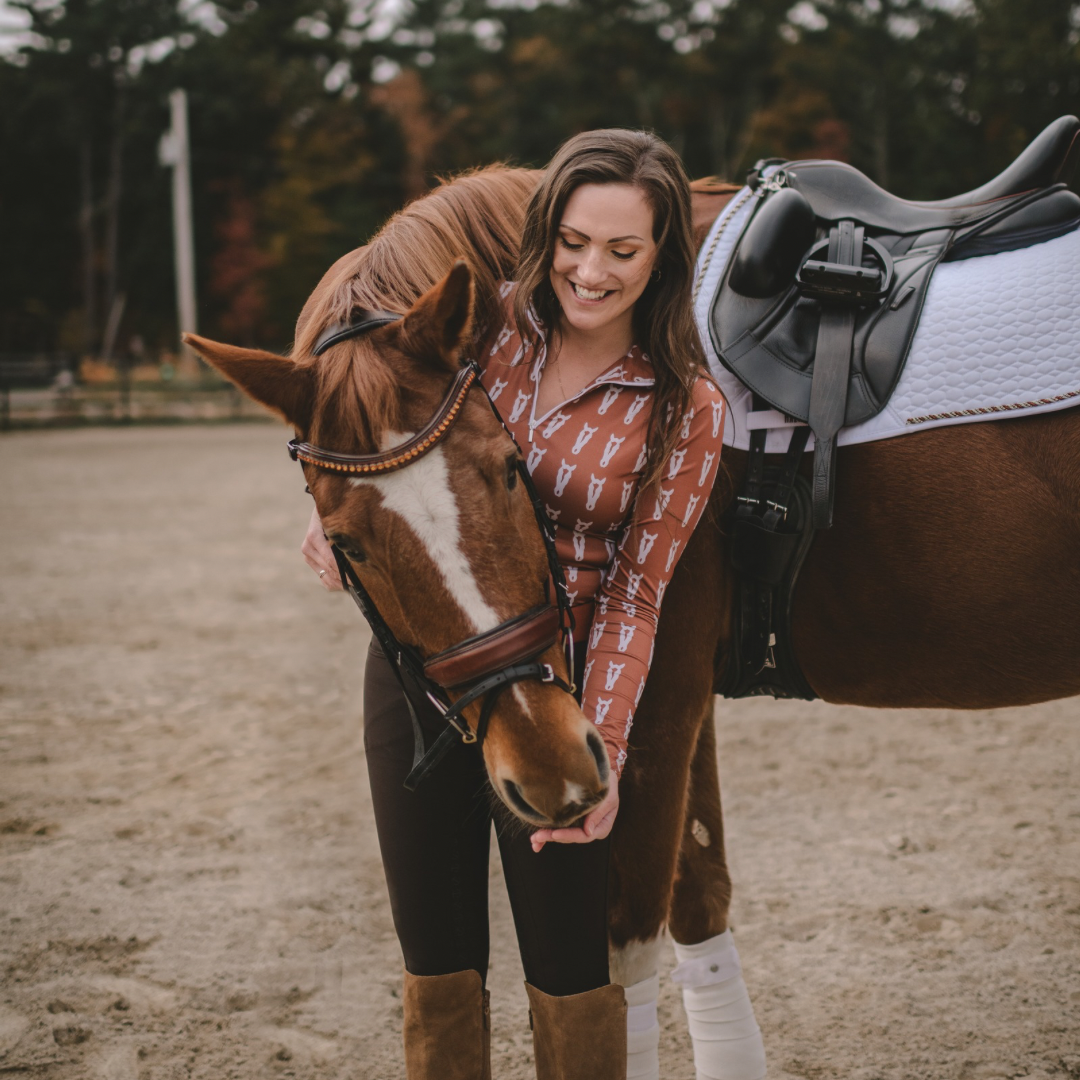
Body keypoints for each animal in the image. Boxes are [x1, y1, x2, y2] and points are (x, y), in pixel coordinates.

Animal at [185, 166, 1080, 1071]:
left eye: (510, 468)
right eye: (344, 544)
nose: (549, 770)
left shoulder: (659, 688)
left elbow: (623, 956)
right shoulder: (672, 692)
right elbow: (699, 899)